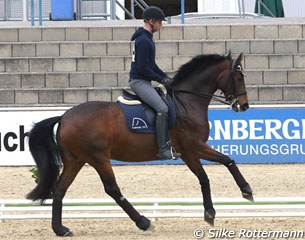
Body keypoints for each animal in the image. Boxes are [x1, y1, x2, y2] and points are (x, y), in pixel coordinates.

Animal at [27, 52, 252, 236]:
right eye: (239, 77)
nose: (244, 106)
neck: (188, 102)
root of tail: (64, 117)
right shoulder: (192, 148)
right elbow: (216, 169)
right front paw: (230, 200)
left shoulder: (192, 150)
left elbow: (216, 168)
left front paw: (228, 202)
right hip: (98, 158)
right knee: (112, 189)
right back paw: (144, 222)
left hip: (76, 160)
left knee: (59, 190)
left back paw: (60, 229)